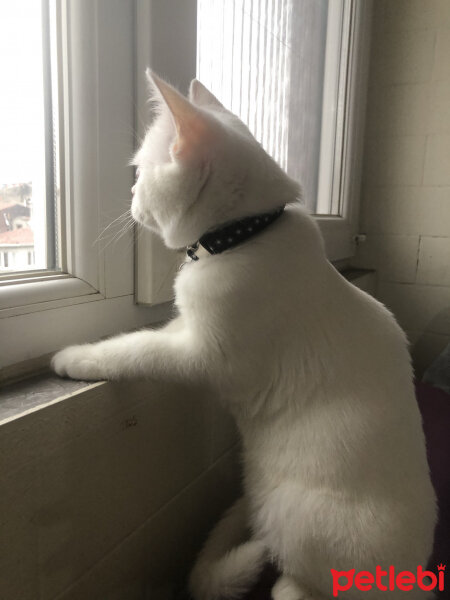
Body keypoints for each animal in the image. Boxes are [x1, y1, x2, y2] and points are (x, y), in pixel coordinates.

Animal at [52, 72, 436, 596]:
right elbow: (148, 334)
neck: (245, 236)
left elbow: (136, 348)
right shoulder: (187, 325)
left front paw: (75, 357)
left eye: (139, 174)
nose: (129, 202)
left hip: (293, 514)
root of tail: (415, 576)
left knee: (295, 579)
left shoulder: (204, 354)